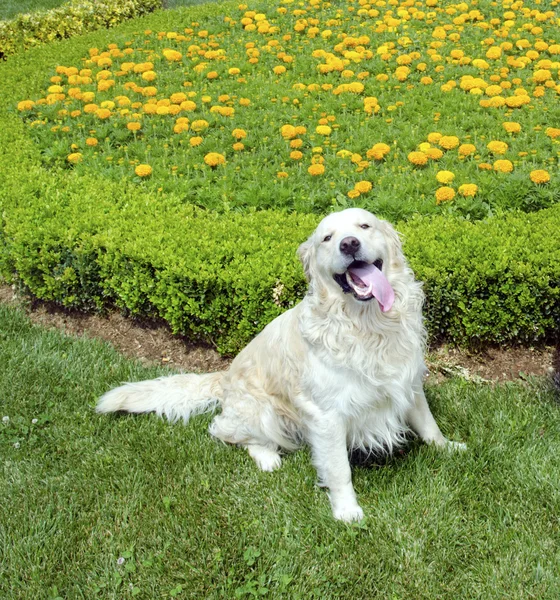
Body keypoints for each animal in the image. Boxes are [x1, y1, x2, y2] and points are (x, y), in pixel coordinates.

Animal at [98, 206, 466, 520]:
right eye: (327, 238)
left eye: (364, 226)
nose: (349, 244)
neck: (368, 326)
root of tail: (224, 376)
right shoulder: (327, 414)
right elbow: (339, 469)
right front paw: (347, 511)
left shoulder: (407, 380)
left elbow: (428, 424)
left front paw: (448, 447)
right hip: (262, 410)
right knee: (224, 430)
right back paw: (267, 457)